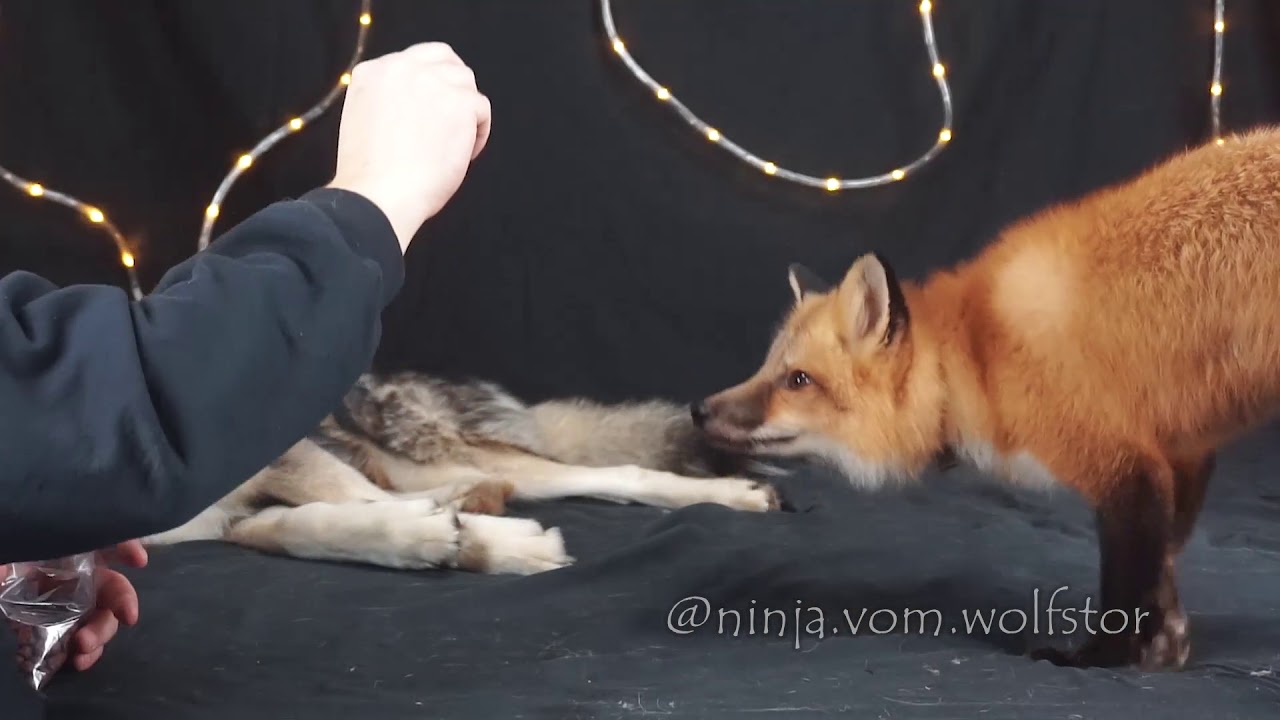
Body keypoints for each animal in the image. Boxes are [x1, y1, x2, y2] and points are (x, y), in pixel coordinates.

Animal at [690, 126, 1280, 672]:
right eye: (767, 368)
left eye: (797, 381)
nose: (698, 410)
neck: (976, 355)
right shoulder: (1181, 456)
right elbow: (1165, 568)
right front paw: (1167, 646)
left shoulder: (1125, 467)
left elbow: (1126, 591)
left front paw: (1098, 659)